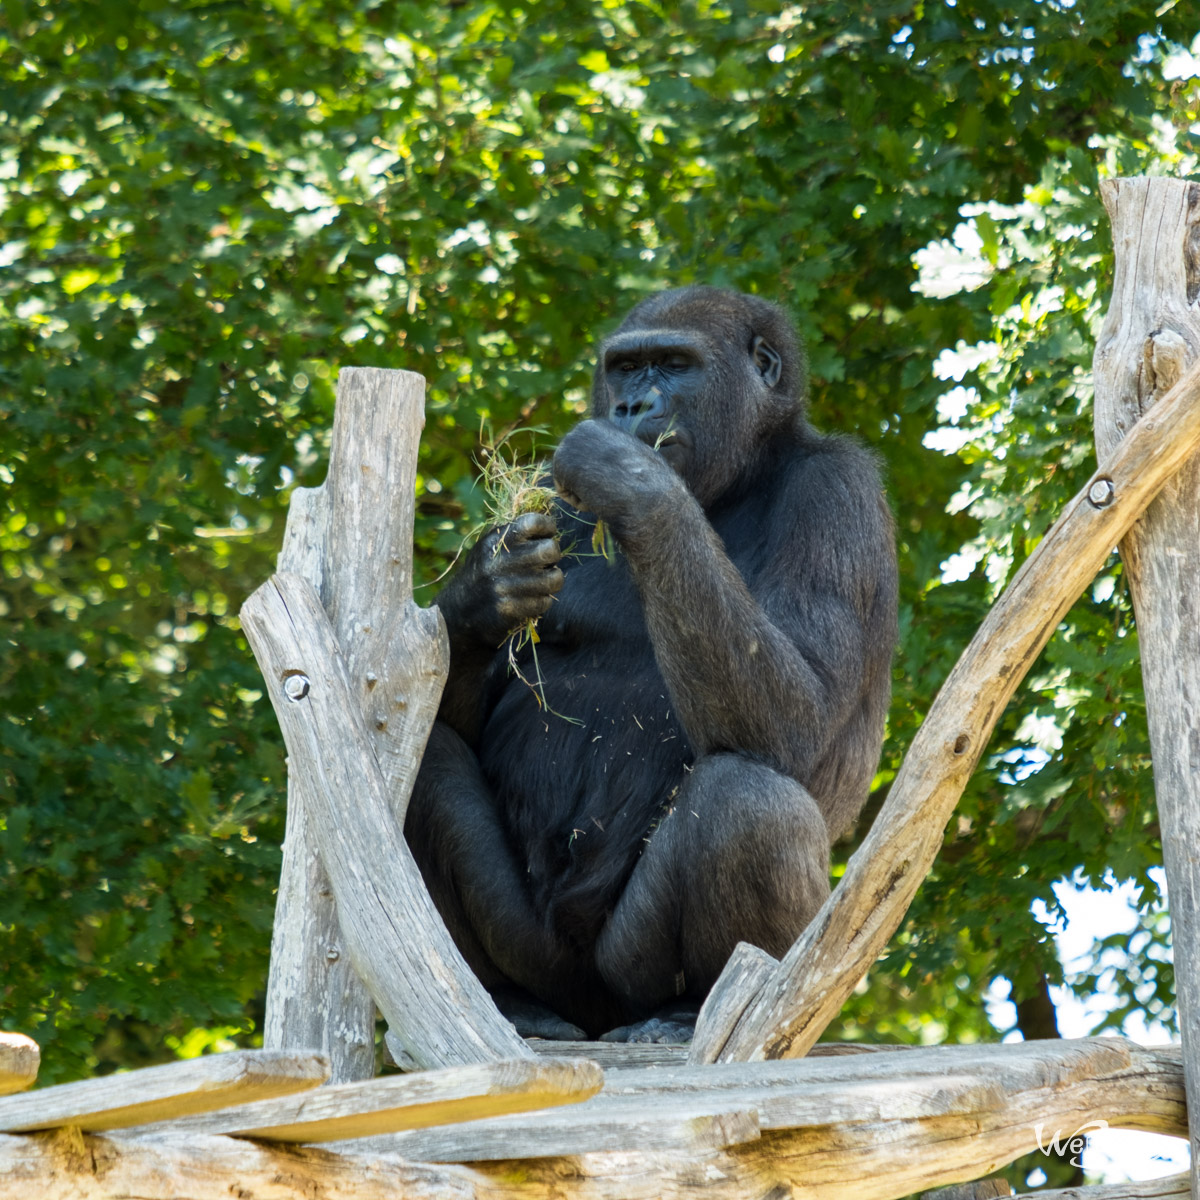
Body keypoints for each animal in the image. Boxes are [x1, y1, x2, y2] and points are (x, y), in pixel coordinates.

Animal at [408, 288, 897, 1041]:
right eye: (625, 367)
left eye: (672, 363)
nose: (631, 406)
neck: (746, 470)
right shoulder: (550, 488)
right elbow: (459, 713)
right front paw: (484, 588)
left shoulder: (839, 492)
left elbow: (800, 719)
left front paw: (631, 477)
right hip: (549, 967)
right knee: (427, 766)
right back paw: (509, 1001)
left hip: (656, 975)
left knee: (746, 805)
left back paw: (687, 1009)